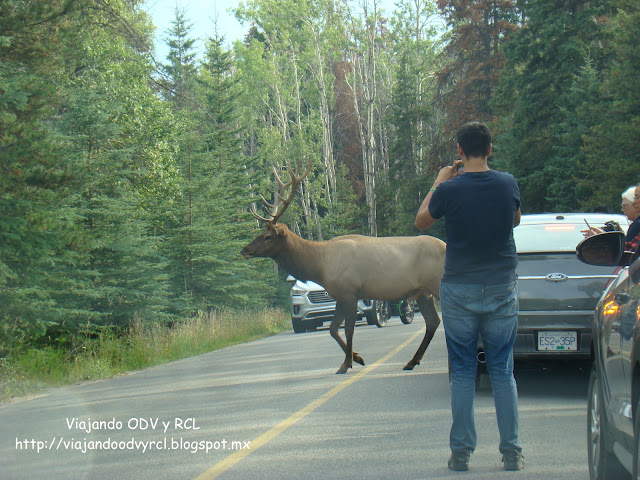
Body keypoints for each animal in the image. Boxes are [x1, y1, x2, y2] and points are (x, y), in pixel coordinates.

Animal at [240, 161, 444, 376]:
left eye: (267, 237)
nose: (245, 250)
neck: (320, 266)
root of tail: (446, 245)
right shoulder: (339, 295)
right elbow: (333, 329)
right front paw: (357, 358)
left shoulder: (350, 292)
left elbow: (348, 329)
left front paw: (347, 364)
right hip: (423, 292)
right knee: (433, 321)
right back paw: (412, 361)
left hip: (436, 284)